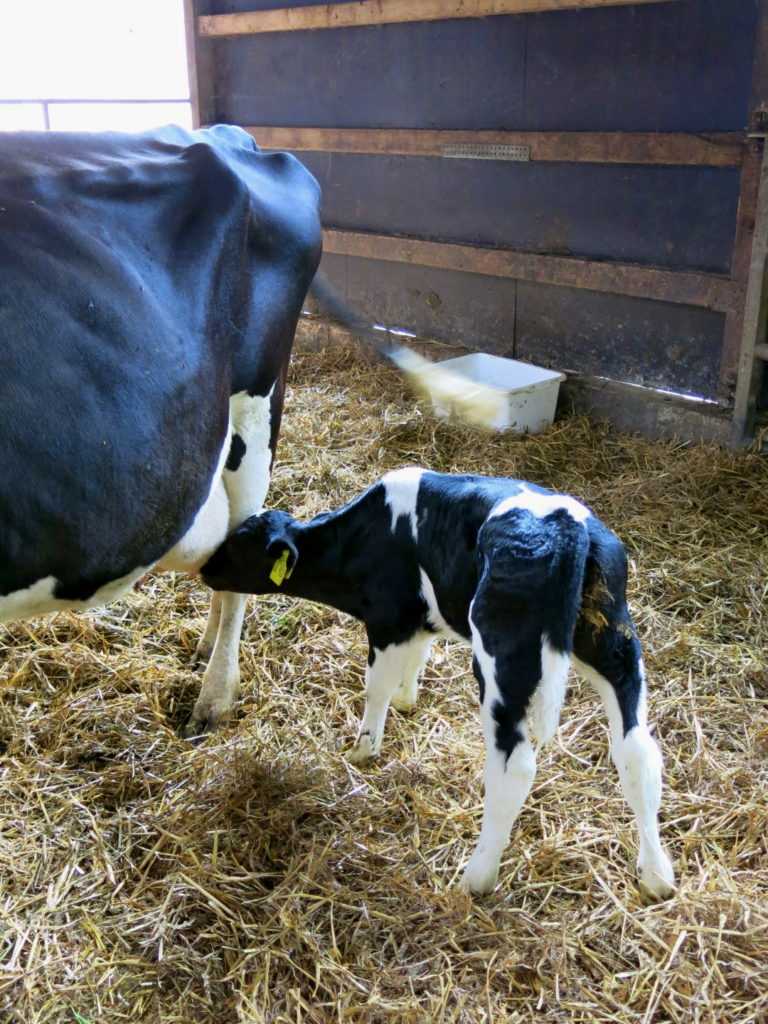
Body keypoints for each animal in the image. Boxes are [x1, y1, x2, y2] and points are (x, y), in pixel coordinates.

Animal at [202, 468, 679, 901]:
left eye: (240, 543)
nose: (205, 568)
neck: (362, 536)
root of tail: (566, 523)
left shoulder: (388, 618)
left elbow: (375, 686)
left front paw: (363, 749)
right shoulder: (420, 618)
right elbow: (416, 659)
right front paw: (407, 700)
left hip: (502, 657)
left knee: (514, 766)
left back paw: (477, 877)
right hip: (615, 646)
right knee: (638, 753)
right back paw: (657, 876)